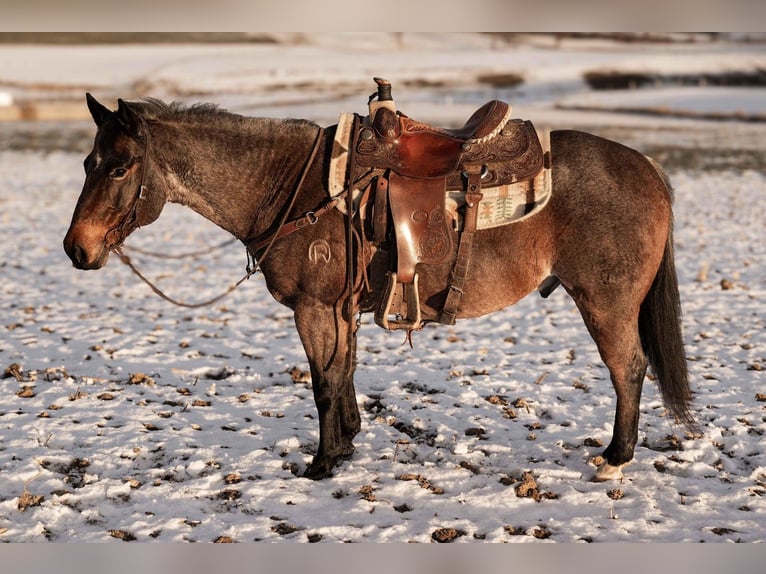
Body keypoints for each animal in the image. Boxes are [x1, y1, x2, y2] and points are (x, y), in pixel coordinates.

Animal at [63, 93, 696, 481]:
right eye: (88, 163)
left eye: (118, 168)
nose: (76, 248)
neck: (289, 185)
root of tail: (648, 169)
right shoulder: (340, 309)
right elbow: (343, 374)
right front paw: (346, 443)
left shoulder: (314, 308)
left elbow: (322, 383)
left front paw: (322, 463)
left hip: (606, 304)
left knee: (628, 369)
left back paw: (614, 458)